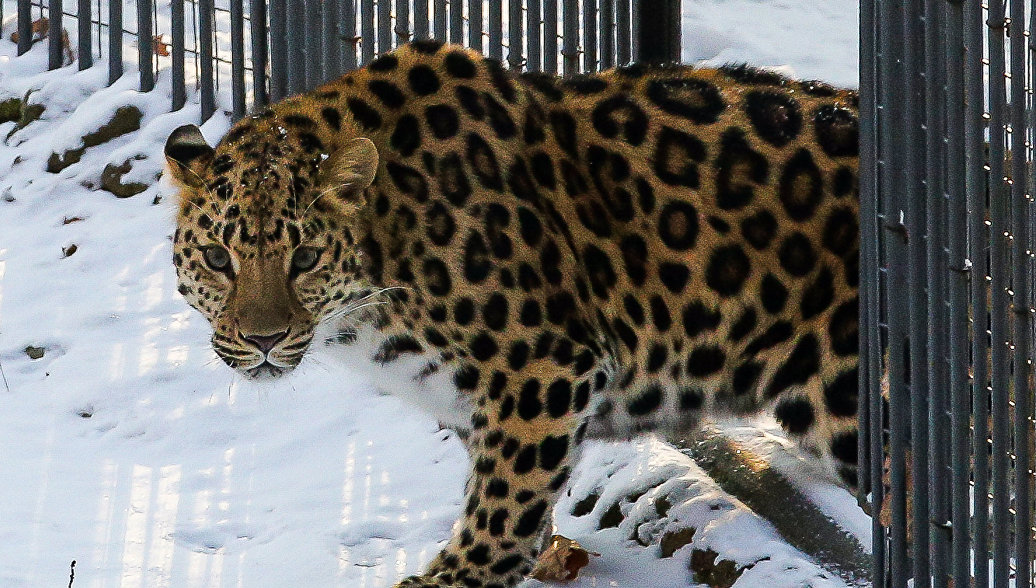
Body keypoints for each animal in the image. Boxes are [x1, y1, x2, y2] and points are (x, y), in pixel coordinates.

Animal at [161, 39, 857, 583]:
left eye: (304, 257)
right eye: (218, 258)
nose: (263, 339)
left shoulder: (547, 370)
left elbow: (500, 512)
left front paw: (452, 578)